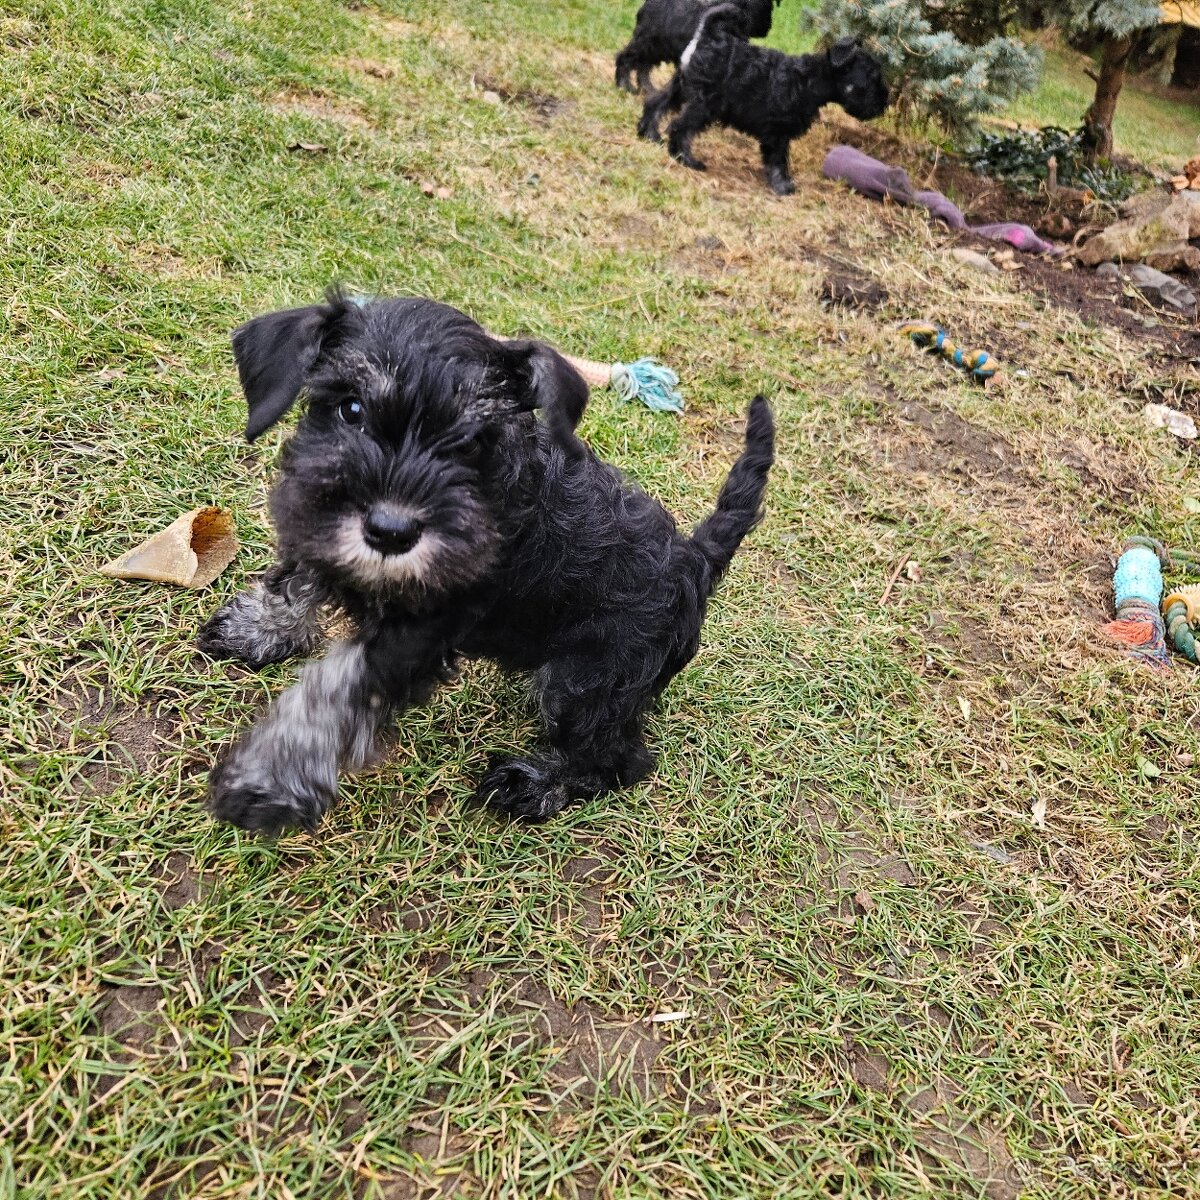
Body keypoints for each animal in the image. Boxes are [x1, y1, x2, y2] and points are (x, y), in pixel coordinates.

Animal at [200, 291, 772, 835]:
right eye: (352, 410)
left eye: (473, 440)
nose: (390, 531)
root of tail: (694, 560)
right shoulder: (318, 528)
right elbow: (296, 580)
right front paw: (257, 629)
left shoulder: (421, 630)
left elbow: (335, 691)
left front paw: (266, 780)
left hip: (588, 681)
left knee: (616, 758)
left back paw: (536, 786)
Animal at [614, 0, 782, 93]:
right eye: (768, 9)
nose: (768, 28)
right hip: (648, 41)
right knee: (626, 57)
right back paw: (624, 85)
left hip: (658, 47)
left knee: (644, 66)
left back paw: (648, 88)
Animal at [638, 5, 892, 192]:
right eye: (872, 78)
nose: (884, 102)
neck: (809, 81)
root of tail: (708, 36)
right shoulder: (777, 132)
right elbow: (778, 160)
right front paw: (783, 185)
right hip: (705, 104)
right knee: (680, 127)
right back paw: (686, 159)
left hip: (681, 85)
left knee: (655, 103)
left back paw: (649, 134)